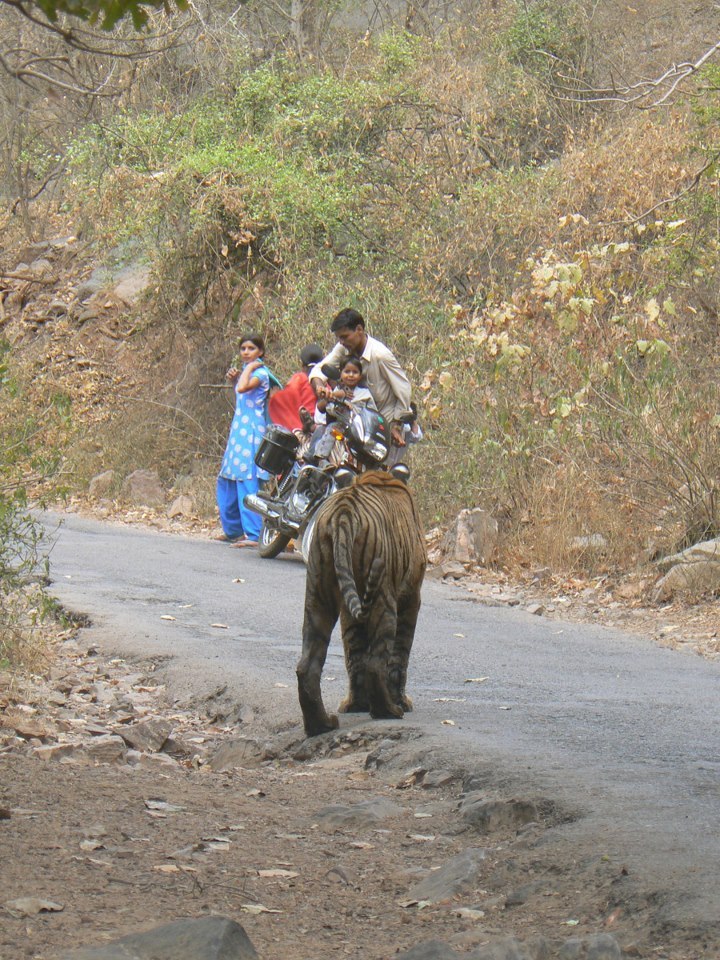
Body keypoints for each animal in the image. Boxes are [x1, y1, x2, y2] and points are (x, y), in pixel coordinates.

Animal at [296, 470, 428, 736]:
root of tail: (343, 511)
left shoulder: (348, 610)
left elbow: (353, 654)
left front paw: (355, 705)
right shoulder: (412, 598)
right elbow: (400, 655)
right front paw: (401, 702)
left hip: (319, 592)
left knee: (308, 665)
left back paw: (321, 725)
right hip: (383, 597)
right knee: (377, 662)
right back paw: (388, 711)